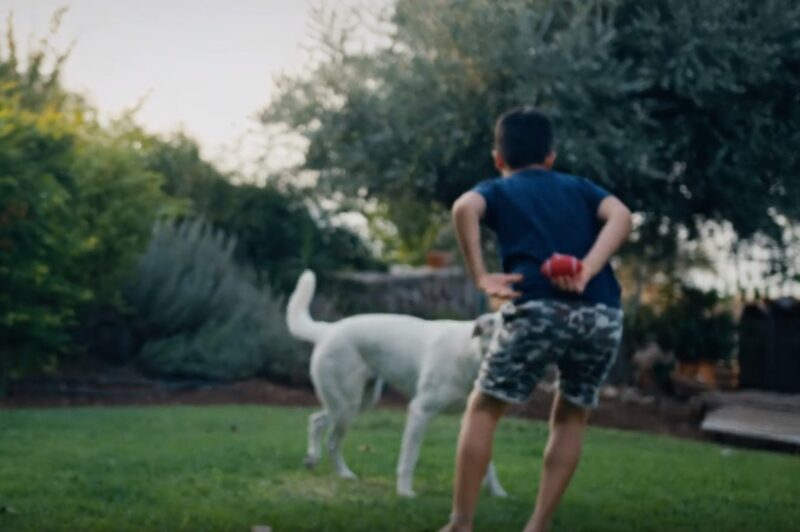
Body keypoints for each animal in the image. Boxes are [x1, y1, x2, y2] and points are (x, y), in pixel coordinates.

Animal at [284, 270, 504, 498]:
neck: (470, 352)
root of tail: (329, 329)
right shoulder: (420, 412)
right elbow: (408, 460)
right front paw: (405, 493)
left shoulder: (471, 418)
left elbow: (487, 463)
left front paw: (499, 494)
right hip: (346, 406)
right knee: (331, 440)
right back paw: (338, 470)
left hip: (359, 403)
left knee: (317, 421)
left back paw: (325, 465)